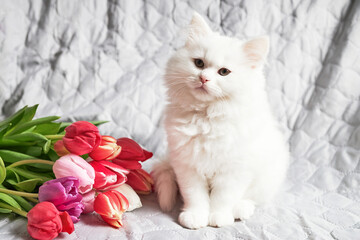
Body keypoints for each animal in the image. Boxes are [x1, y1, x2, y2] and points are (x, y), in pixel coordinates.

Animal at [152, 12, 290, 229]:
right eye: (199, 63)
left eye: (224, 72)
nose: (204, 79)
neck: (207, 117)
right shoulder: (187, 166)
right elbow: (195, 196)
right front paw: (195, 216)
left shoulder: (233, 170)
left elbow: (223, 197)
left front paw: (218, 217)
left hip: (268, 176)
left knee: (251, 199)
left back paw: (241, 210)